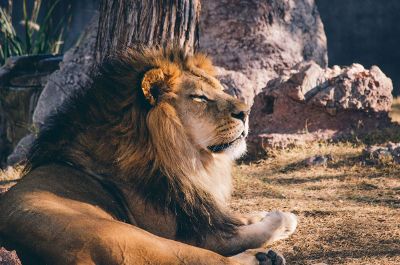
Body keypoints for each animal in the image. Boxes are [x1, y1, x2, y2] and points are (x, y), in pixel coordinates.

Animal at [0, 48, 296, 264]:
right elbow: (244, 233)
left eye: (219, 89)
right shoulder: (188, 232)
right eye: (199, 98)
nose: (246, 112)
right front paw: (281, 219)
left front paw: (260, 213)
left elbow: (234, 218)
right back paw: (265, 258)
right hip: (136, 238)